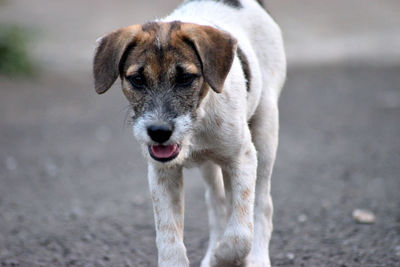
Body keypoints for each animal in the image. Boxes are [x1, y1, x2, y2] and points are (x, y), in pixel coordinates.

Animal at [92, 1, 286, 266]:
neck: (197, 125)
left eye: (185, 78)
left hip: (265, 133)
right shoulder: (162, 172)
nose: (159, 132)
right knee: (218, 203)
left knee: (261, 204)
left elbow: (240, 234)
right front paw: (211, 255)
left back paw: (255, 258)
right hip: (212, 166)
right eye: (137, 79)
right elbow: (169, 238)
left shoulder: (243, 158)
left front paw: (222, 256)